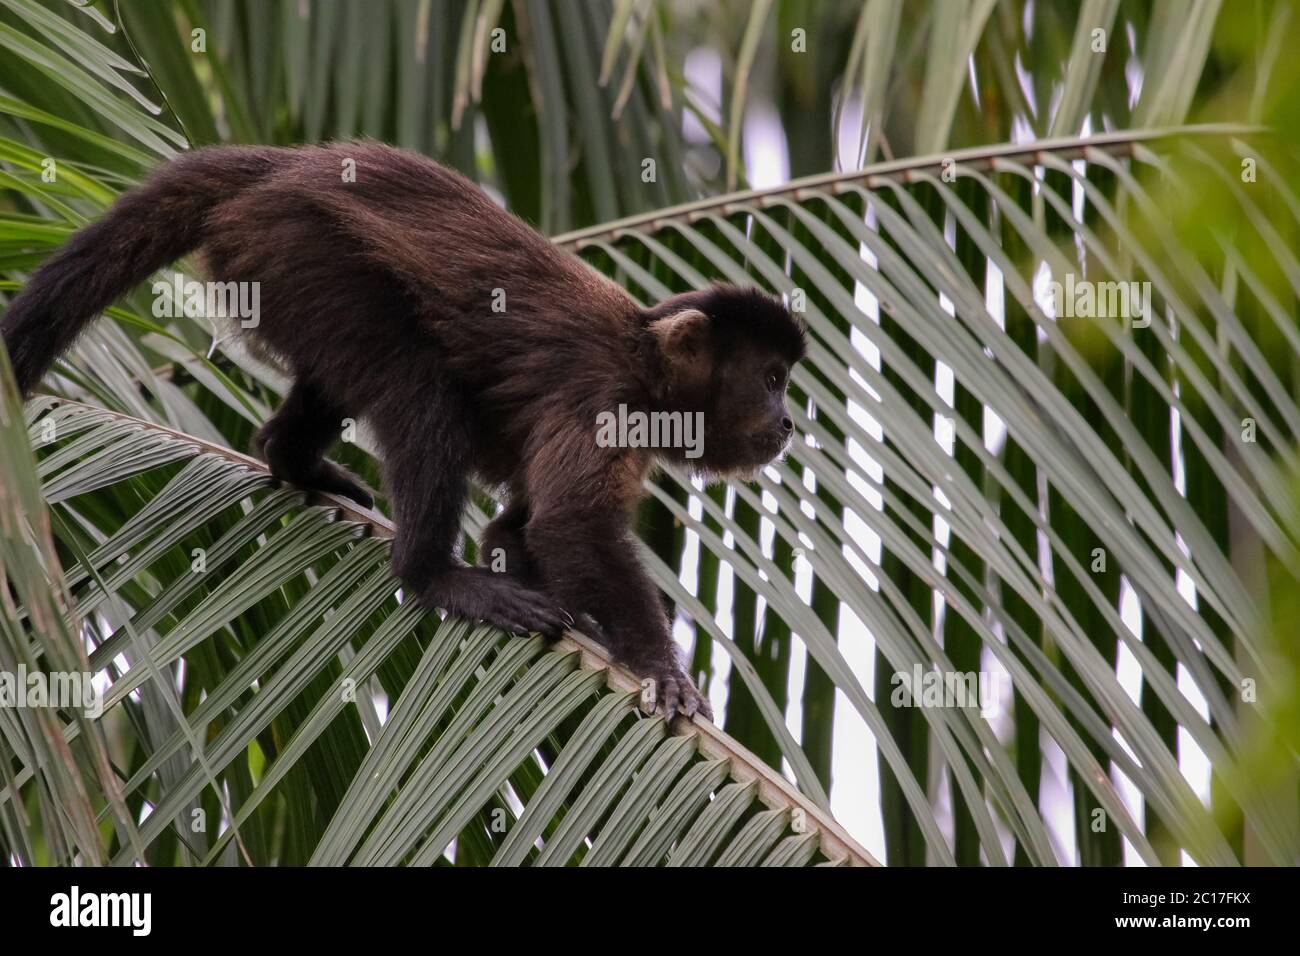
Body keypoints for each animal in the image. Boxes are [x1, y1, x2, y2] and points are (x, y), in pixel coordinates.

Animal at [2, 141, 800, 723]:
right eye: (771, 379)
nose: (790, 419)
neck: (646, 363)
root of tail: (284, 165)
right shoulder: (604, 398)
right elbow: (570, 526)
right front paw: (661, 669)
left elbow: (517, 532)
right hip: (301, 246)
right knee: (420, 390)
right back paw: (430, 575)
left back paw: (292, 459)